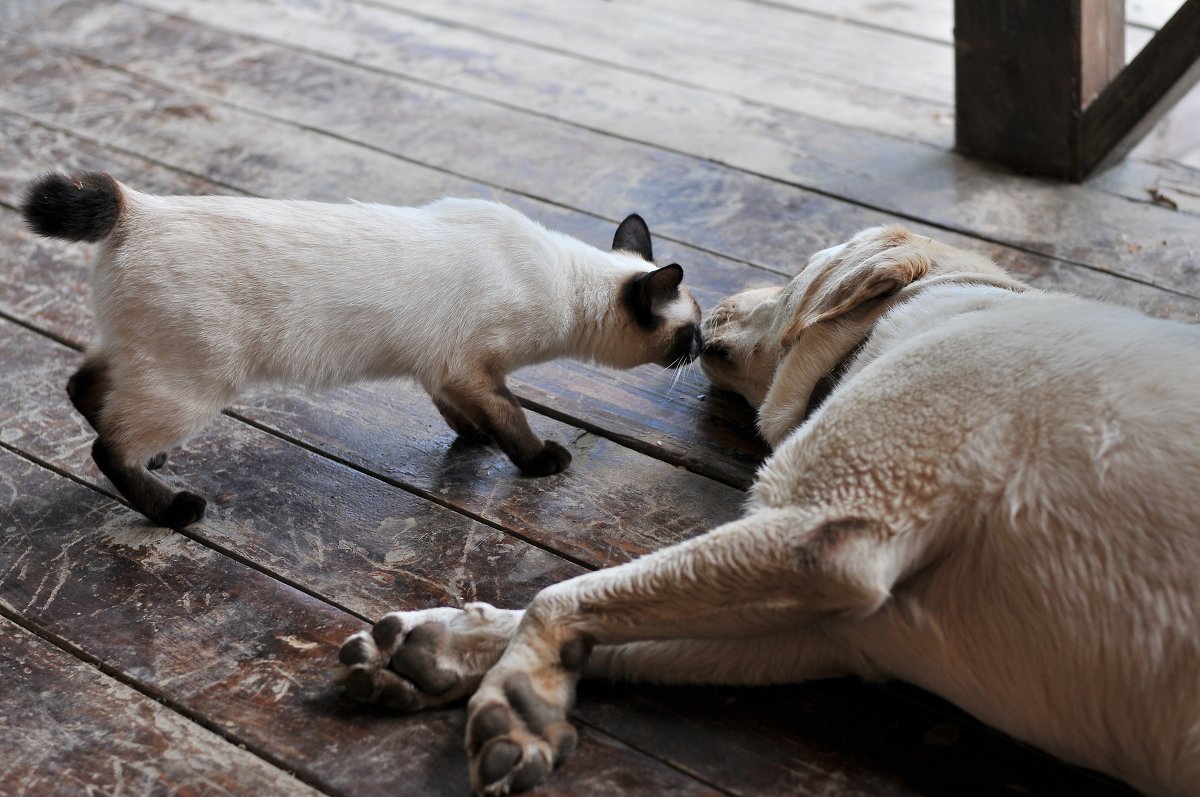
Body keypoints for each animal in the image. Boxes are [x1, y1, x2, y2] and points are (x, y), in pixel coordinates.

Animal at [23, 171, 700, 525]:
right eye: (691, 332)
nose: (699, 351)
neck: (562, 284)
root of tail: (136, 206)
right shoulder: (471, 367)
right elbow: (512, 419)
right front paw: (539, 461)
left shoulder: (446, 370)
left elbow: (466, 416)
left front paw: (475, 440)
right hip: (194, 384)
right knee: (107, 447)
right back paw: (174, 508)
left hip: (142, 357)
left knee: (82, 388)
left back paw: (156, 461)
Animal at [338, 225, 1200, 797]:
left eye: (792, 276)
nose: (713, 298)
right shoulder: (836, 626)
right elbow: (598, 614)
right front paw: (442, 642)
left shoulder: (828, 534)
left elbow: (562, 593)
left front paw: (515, 695)